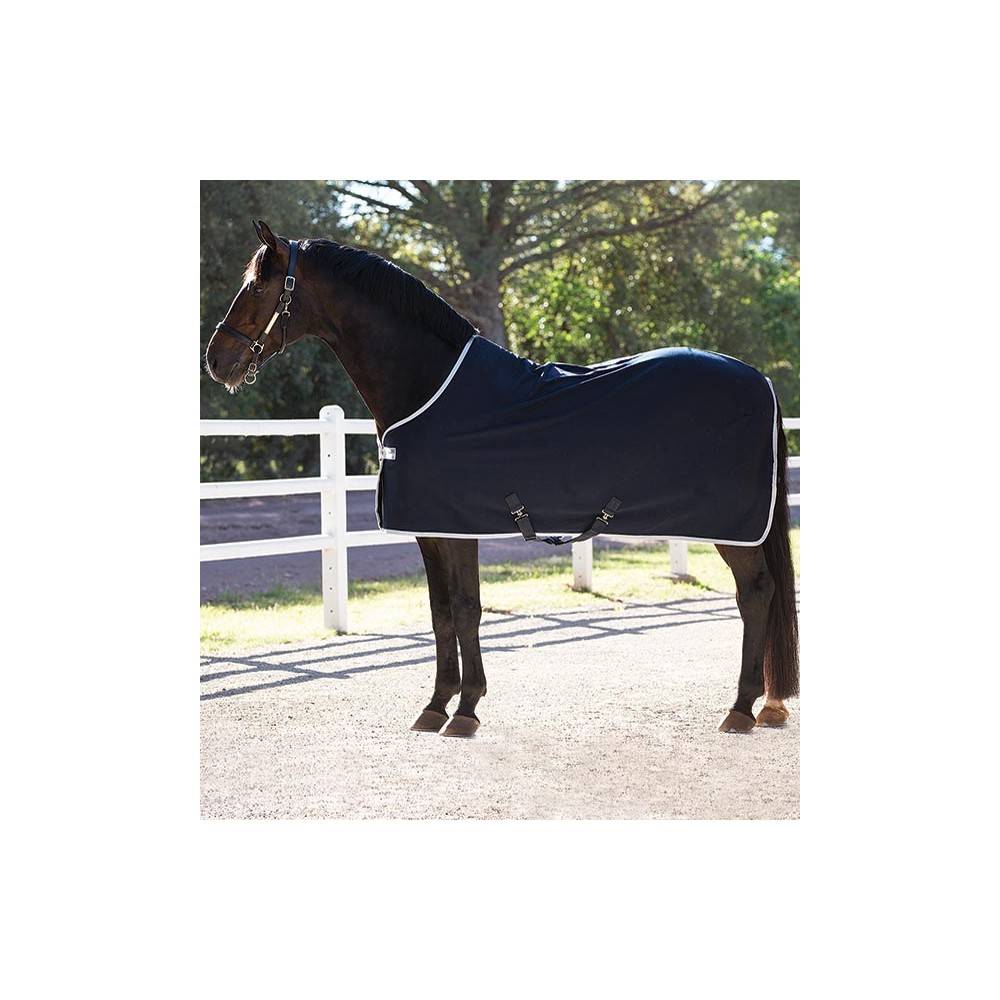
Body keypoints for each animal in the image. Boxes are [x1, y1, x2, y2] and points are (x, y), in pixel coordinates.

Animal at [205, 220, 799, 737]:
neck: (429, 387)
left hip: (734, 529)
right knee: (759, 595)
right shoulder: (432, 530)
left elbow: (467, 610)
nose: (216, 361)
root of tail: (760, 379)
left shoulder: (458, 528)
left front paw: (465, 711)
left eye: (257, 286)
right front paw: (436, 706)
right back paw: (766, 706)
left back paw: (741, 708)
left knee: (756, 594)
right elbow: (442, 613)